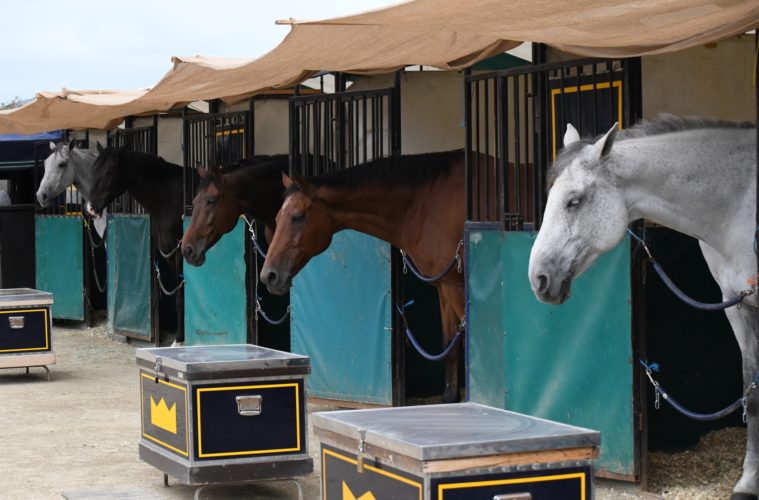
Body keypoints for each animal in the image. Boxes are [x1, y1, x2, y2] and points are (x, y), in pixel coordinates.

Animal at [87, 143, 185, 343]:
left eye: (109, 171)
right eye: (93, 169)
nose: (91, 209)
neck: (170, 197)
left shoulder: (182, 252)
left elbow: (181, 294)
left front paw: (179, 339)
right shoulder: (169, 252)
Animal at [260, 150, 467, 403]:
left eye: (297, 217)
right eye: (277, 218)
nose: (268, 276)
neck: (428, 203)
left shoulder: (457, 285)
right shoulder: (444, 284)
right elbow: (451, 344)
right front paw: (451, 398)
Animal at [527, 115, 757, 499]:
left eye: (574, 201)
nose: (539, 278)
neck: (741, 203)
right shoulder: (736, 306)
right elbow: (751, 394)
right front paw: (748, 482)